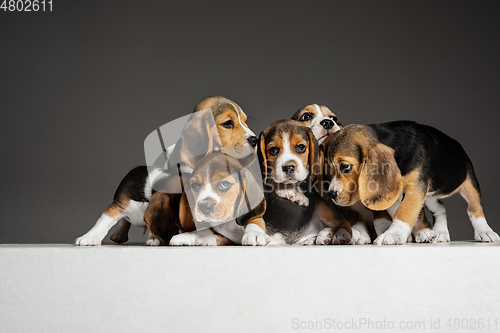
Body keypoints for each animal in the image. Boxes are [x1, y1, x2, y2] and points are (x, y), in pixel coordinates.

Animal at [76, 94, 260, 245]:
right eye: (228, 123)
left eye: (245, 121)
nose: (255, 140)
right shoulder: (121, 204)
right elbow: (104, 220)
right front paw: (88, 237)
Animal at [322, 120, 498, 244]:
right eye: (328, 168)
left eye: (345, 167)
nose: (331, 194)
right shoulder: (399, 193)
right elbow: (397, 210)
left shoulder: (415, 189)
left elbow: (404, 211)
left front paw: (393, 234)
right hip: (429, 197)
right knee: (440, 208)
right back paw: (441, 232)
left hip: (469, 182)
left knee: (474, 208)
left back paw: (485, 231)